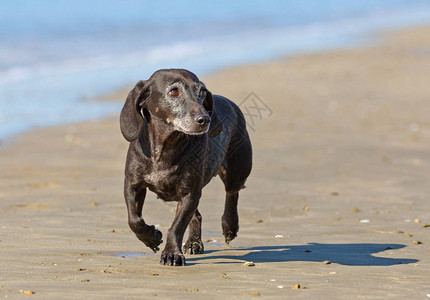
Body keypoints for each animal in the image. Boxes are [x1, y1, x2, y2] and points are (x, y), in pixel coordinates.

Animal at [119, 68, 252, 264]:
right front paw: (152, 237)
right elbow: (134, 220)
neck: (165, 149)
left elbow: (177, 226)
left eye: (202, 92)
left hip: (237, 169)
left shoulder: (190, 192)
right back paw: (193, 243)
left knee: (232, 195)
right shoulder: (133, 185)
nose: (205, 119)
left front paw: (172, 253)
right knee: (197, 216)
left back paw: (229, 227)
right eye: (174, 91)